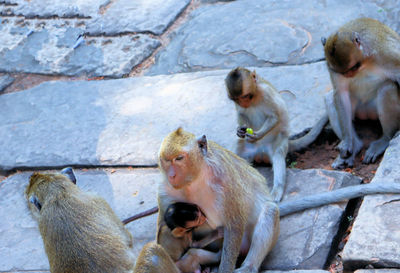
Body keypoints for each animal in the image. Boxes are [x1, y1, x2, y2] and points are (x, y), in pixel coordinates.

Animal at [225, 67, 328, 201]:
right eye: (237, 99)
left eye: (246, 96)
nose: (244, 103)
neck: (255, 95)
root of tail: (260, 153)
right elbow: (241, 114)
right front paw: (240, 130)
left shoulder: (266, 92)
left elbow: (274, 117)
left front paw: (258, 135)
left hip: (278, 141)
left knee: (278, 154)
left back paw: (277, 190)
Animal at [322, 17, 400, 168]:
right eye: (343, 72)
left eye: (354, 67)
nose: (349, 75)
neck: (366, 60)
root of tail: (367, 114)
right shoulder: (332, 68)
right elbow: (341, 93)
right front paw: (347, 142)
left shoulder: (388, 55)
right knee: (330, 98)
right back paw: (355, 146)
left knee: (387, 88)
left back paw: (385, 139)